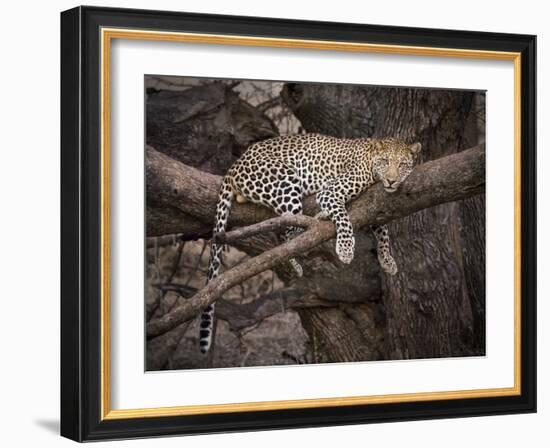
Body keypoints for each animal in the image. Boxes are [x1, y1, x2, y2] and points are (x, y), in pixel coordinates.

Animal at [198, 133, 422, 354]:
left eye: (402, 165)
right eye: (385, 162)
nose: (392, 181)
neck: (372, 165)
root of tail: (236, 164)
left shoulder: (375, 205)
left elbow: (382, 228)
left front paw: (387, 260)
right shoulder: (330, 192)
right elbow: (344, 217)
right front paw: (345, 249)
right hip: (287, 185)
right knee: (289, 233)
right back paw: (310, 237)